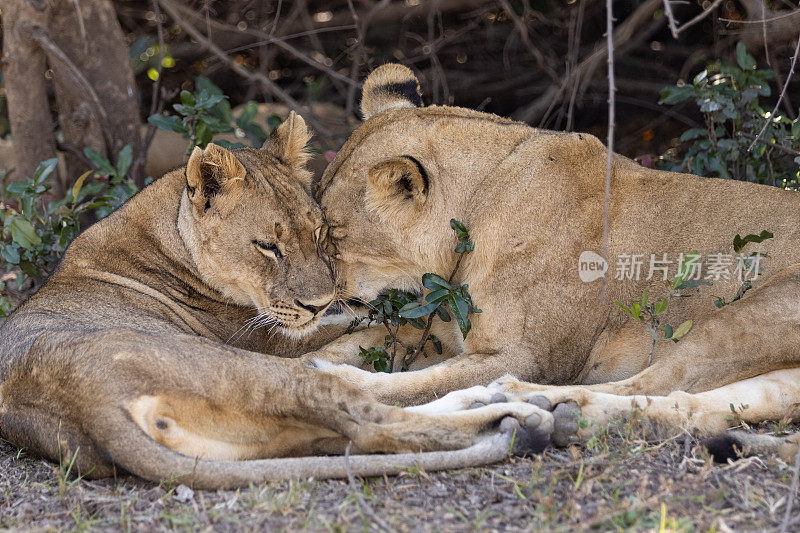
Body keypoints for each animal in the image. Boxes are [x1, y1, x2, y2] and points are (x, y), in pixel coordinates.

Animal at [0, 112, 552, 486]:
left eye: (320, 232)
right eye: (268, 246)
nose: (320, 302)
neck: (164, 231)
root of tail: (87, 405)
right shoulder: (272, 339)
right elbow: (381, 324)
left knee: (356, 426)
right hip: (251, 367)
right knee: (371, 417)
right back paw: (524, 415)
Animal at [310, 64, 800, 460]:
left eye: (333, 234)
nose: (314, 300)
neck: (477, 206)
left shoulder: (524, 355)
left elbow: (422, 381)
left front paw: (328, 375)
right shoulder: (447, 329)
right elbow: (363, 340)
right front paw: (311, 357)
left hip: (748, 315)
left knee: (657, 381)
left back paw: (519, 397)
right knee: (705, 403)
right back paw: (558, 412)